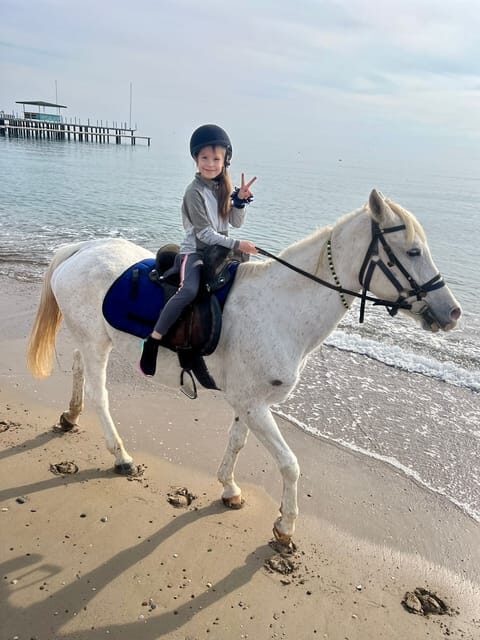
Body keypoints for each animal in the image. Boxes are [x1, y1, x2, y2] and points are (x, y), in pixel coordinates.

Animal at [27, 189, 461, 545]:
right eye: (412, 252)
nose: (453, 312)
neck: (279, 310)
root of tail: (81, 249)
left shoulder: (249, 401)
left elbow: (237, 442)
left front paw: (229, 490)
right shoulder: (255, 406)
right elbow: (289, 464)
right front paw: (285, 527)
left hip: (92, 339)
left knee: (79, 368)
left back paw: (70, 416)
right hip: (96, 343)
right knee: (99, 395)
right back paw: (121, 456)